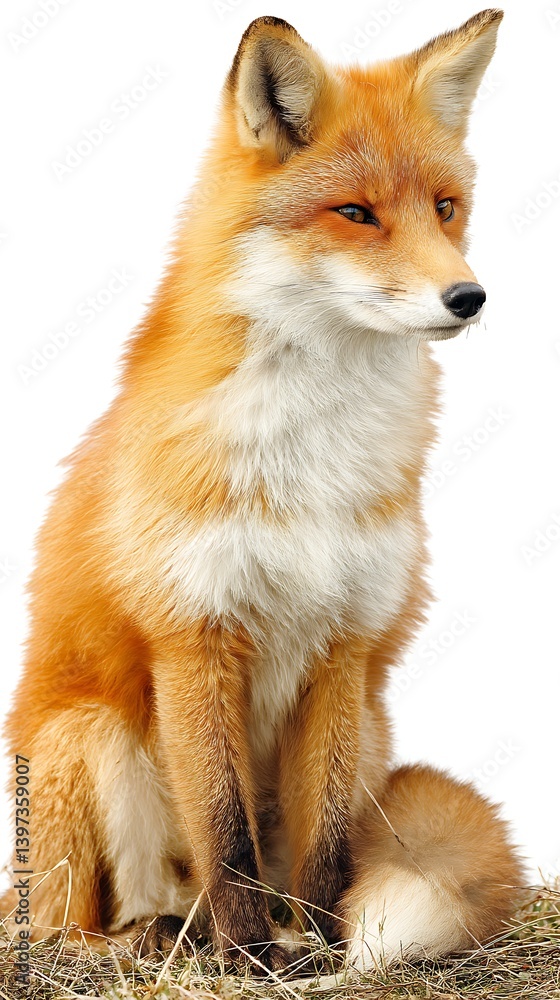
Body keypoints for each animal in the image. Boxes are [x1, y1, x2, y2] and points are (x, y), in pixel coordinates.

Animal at [1, 8, 523, 973]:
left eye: (444, 208)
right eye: (355, 213)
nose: (468, 297)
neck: (309, 463)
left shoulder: (345, 646)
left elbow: (326, 845)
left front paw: (316, 946)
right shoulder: (192, 636)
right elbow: (224, 828)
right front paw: (246, 956)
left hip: (372, 731)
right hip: (82, 740)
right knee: (66, 924)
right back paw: (154, 940)